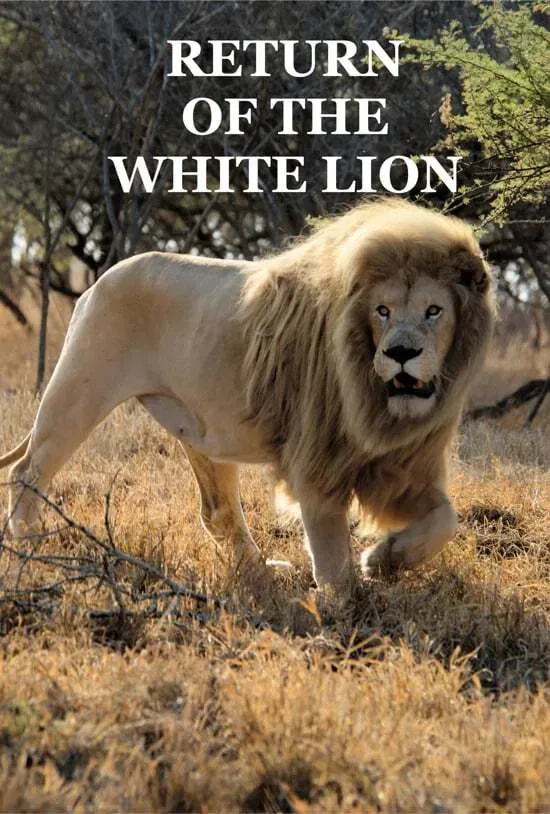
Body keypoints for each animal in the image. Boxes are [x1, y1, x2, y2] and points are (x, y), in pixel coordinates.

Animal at [0, 199, 494, 598]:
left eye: (434, 311)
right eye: (383, 311)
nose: (401, 353)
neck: (378, 403)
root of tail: (99, 280)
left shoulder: (401, 466)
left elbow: (446, 519)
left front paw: (383, 560)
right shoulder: (318, 461)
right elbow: (332, 554)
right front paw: (344, 605)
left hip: (201, 429)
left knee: (218, 512)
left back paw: (266, 574)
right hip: (79, 390)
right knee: (27, 469)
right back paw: (28, 545)